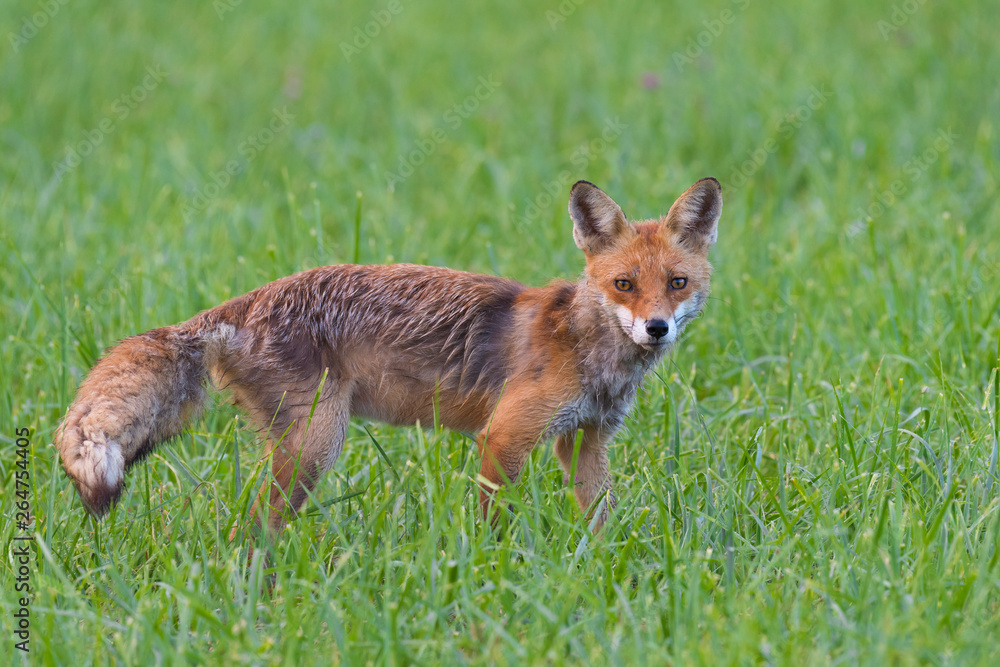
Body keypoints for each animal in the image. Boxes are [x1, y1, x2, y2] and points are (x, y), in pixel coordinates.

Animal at [54, 177, 724, 536]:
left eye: (677, 283)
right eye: (624, 285)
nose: (657, 329)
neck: (589, 351)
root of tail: (246, 301)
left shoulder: (585, 442)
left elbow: (600, 521)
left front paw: (603, 570)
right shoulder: (505, 438)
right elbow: (494, 524)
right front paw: (495, 576)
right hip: (317, 442)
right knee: (253, 527)